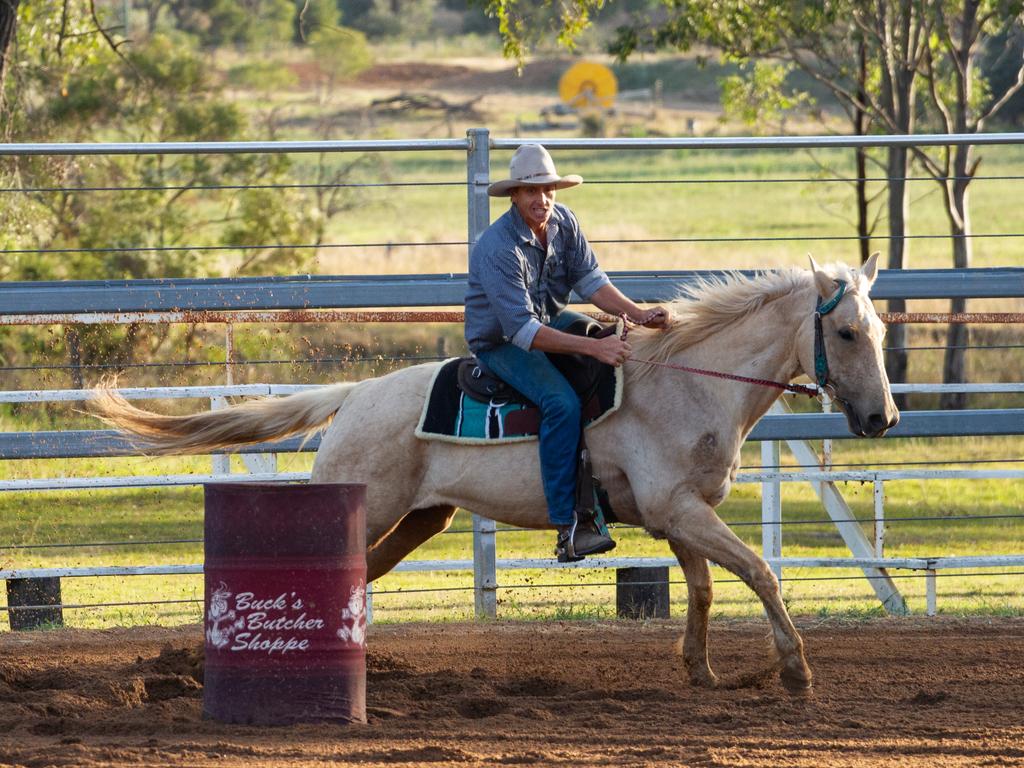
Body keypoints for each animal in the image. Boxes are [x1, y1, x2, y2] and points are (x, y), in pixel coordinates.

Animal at [96, 256, 897, 696]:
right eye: (846, 332)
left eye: (881, 329)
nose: (882, 417)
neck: (688, 382)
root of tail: (354, 396)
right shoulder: (680, 510)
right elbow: (760, 572)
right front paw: (795, 672)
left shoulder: (679, 514)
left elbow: (702, 590)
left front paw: (701, 671)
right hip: (366, 505)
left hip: (420, 519)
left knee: (358, 576)